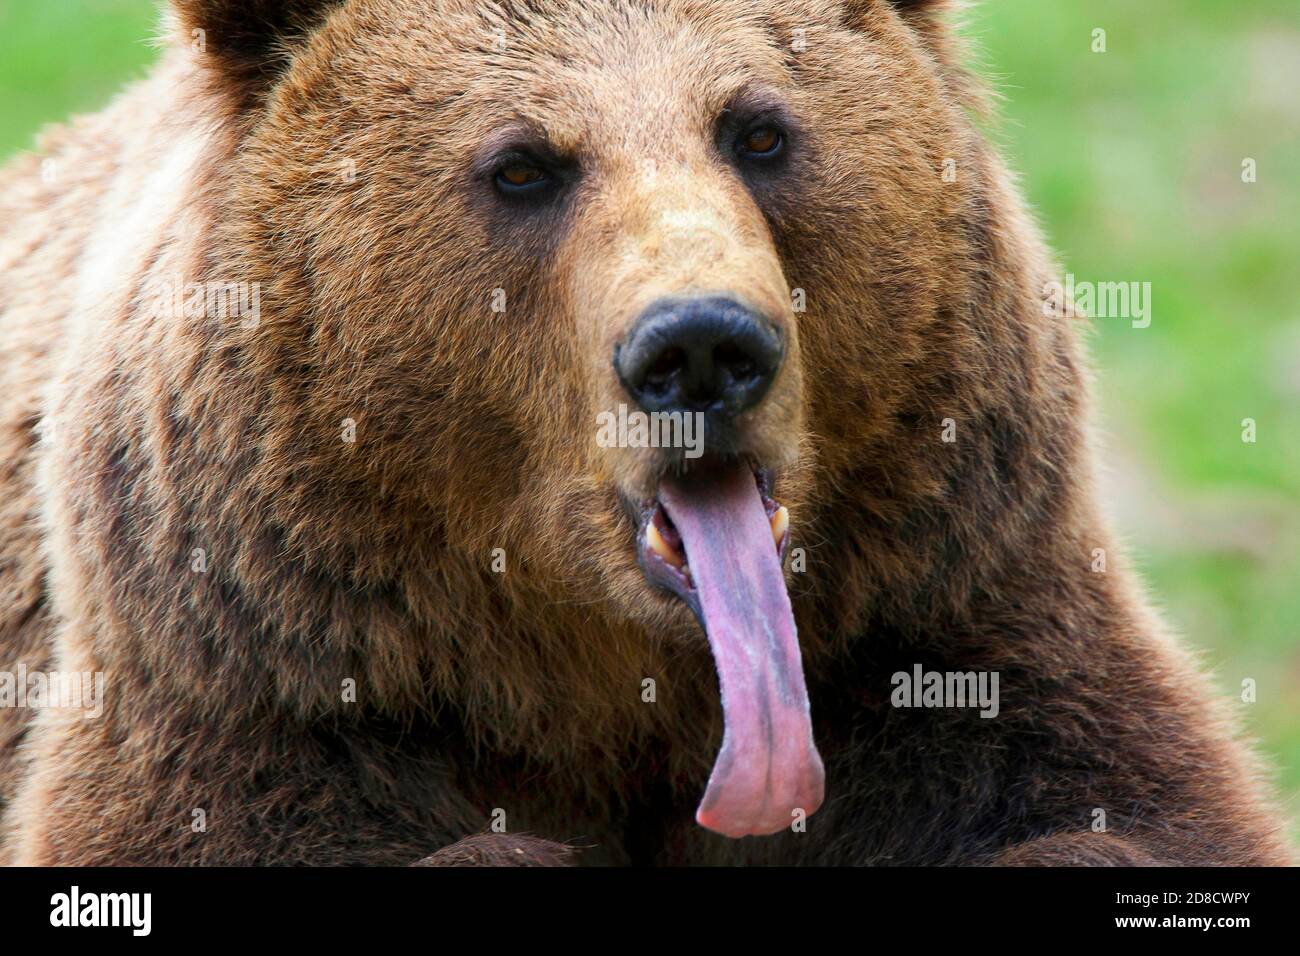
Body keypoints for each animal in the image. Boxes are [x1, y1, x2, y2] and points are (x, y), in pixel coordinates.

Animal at [0, 0, 1291, 866]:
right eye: (522, 163)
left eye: (760, 130)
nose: (702, 348)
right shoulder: (260, 683)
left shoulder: (958, 622)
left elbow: (1114, 809)